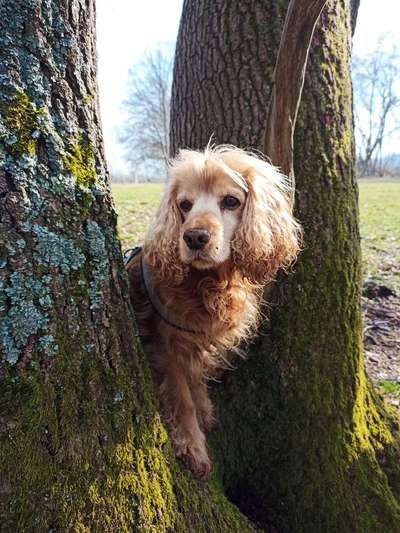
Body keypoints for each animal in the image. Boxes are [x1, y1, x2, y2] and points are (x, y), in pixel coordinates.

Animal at [126, 144, 300, 478]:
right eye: (184, 205)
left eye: (231, 201)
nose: (194, 237)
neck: (206, 283)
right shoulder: (167, 345)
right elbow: (183, 398)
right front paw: (193, 447)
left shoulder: (197, 338)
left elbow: (197, 380)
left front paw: (205, 410)